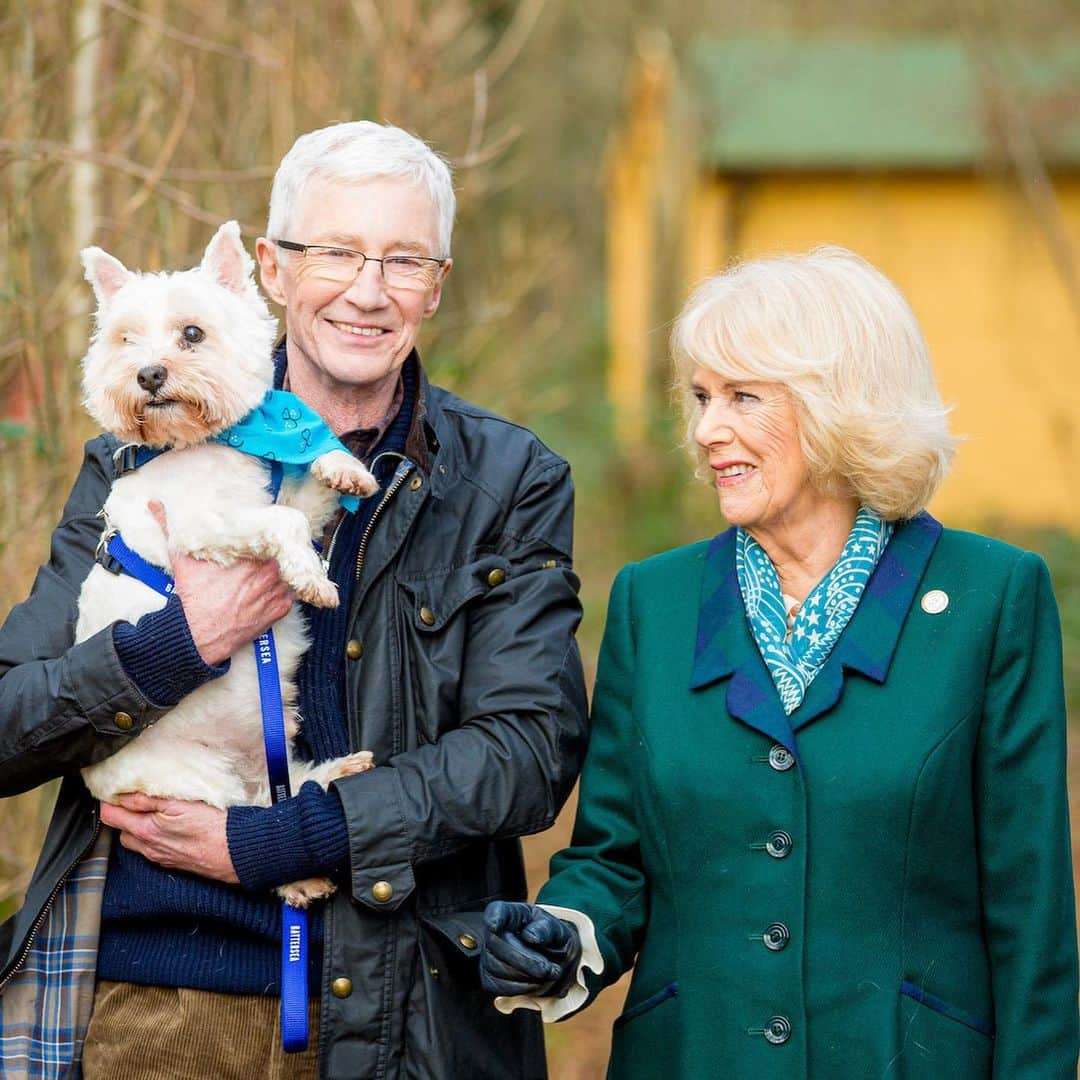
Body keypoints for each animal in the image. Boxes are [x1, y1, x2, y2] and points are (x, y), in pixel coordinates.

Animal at [76, 223, 375, 907]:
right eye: (125, 339)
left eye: (192, 333)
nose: (148, 373)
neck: (205, 440)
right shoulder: (203, 527)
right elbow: (282, 524)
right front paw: (312, 579)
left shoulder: (279, 496)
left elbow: (308, 490)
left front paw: (345, 466)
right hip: (193, 780)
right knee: (249, 822)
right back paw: (302, 877)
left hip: (273, 745)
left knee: (288, 792)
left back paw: (342, 770)